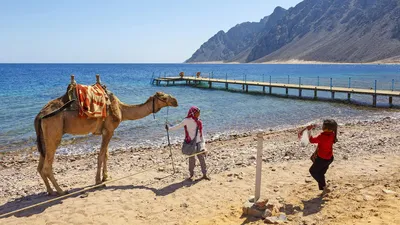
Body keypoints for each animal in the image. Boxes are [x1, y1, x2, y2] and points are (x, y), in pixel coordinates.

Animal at [34, 81, 178, 195]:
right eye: (163, 97)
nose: (175, 101)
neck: (121, 108)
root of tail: (40, 115)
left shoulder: (106, 131)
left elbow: (106, 155)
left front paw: (105, 177)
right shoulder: (109, 130)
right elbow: (101, 155)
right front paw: (98, 180)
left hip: (44, 137)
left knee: (40, 167)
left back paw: (50, 191)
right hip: (53, 132)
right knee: (47, 166)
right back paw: (61, 191)